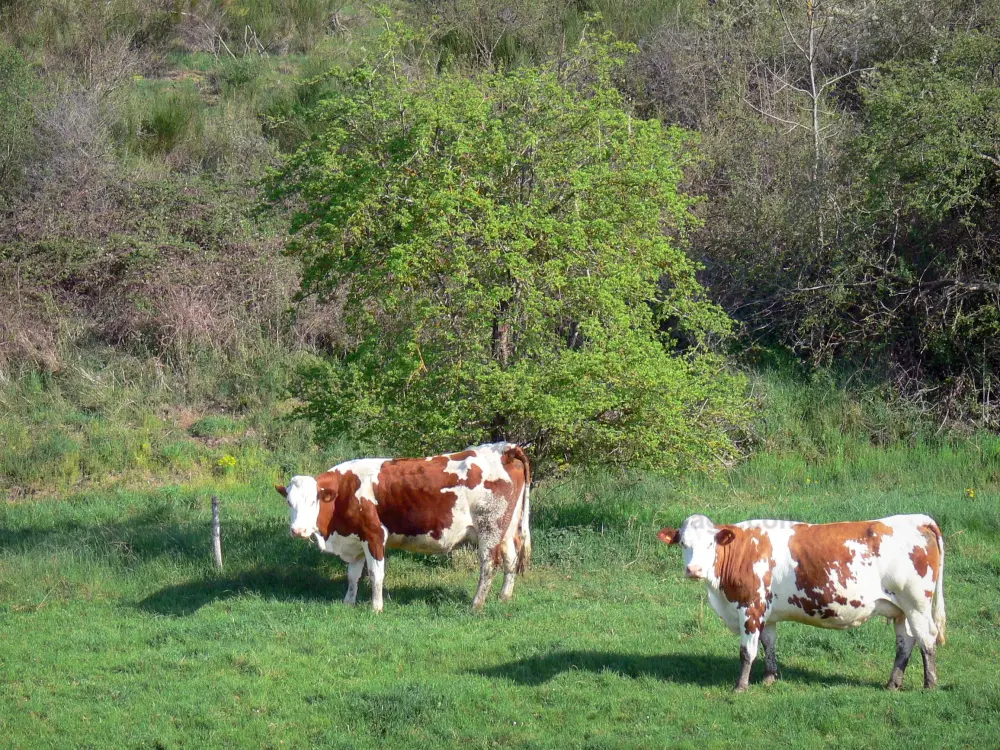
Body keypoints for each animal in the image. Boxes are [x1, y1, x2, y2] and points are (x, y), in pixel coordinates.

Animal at [274, 444, 532, 612]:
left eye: (313, 501)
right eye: (289, 502)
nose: (297, 531)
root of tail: (504, 448)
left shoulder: (374, 535)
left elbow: (375, 574)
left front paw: (376, 608)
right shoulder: (355, 539)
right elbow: (353, 576)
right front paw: (348, 603)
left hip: (489, 529)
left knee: (488, 565)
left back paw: (476, 604)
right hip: (506, 529)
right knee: (510, 559)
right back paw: (504, 597)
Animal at [656, 516, 944, 692]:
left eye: (710, 544)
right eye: (683, 543)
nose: (693, 570)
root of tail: (917, 519)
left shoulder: (750, 608)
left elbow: (747, 652)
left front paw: (740, 687)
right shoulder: (767, 614)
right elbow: (769, 644)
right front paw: (770, 678)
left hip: (916, 604)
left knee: (927, 639)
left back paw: (929, 684)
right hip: (900, 610)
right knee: (905, 642)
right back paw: (892, 684)